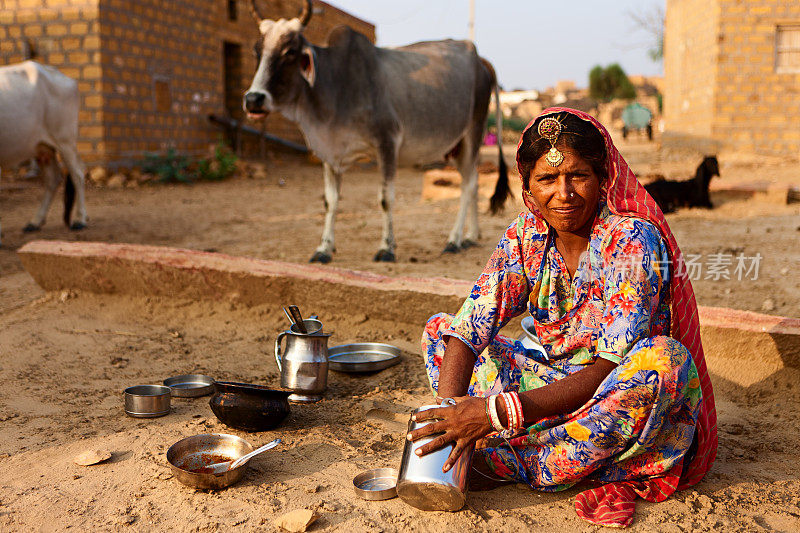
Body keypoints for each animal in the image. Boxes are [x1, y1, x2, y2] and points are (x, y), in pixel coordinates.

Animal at [0, 60, 88, 245]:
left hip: (65, 140)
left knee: (77, 173)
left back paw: (79, 219)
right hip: (42, 148)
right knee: (53, 178)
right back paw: (35, 221)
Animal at [242, 0, 512, 262]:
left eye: (289, 52)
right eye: (257, 51)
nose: (253, 99)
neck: (337, 86)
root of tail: (479, 59)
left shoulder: (387, 143)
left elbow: (385, 199)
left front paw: (386, 248)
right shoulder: (329, 152)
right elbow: (330, 201)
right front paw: (324, 248)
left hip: (473, 133)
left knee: (467, 185)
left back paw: (454, 240)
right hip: (455, 146)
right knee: (474, 180)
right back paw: (471, 236)